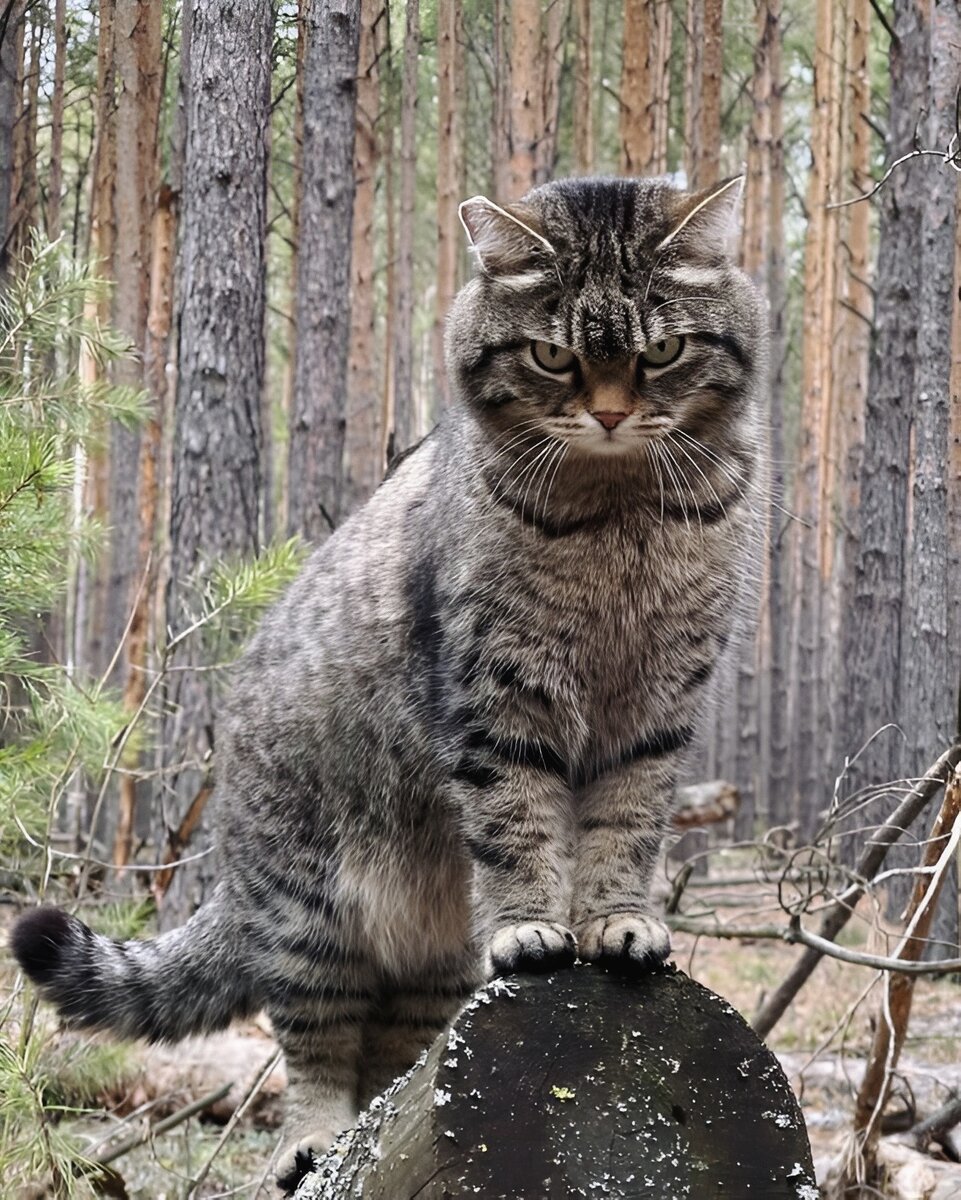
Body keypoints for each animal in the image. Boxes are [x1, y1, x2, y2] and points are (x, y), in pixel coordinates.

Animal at [9, 175, 763, 1190]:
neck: (618, 515)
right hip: (310, 917)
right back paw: (315, 1141)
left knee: (392, 1063)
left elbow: (624, 828)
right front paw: (531, 923)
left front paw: (615, 920)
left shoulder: (655, 707)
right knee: (317, 1048)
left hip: (428, 968)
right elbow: (517, 826)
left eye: (661, 352)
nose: (608, 415)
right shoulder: (495, 694)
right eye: (554, 355)